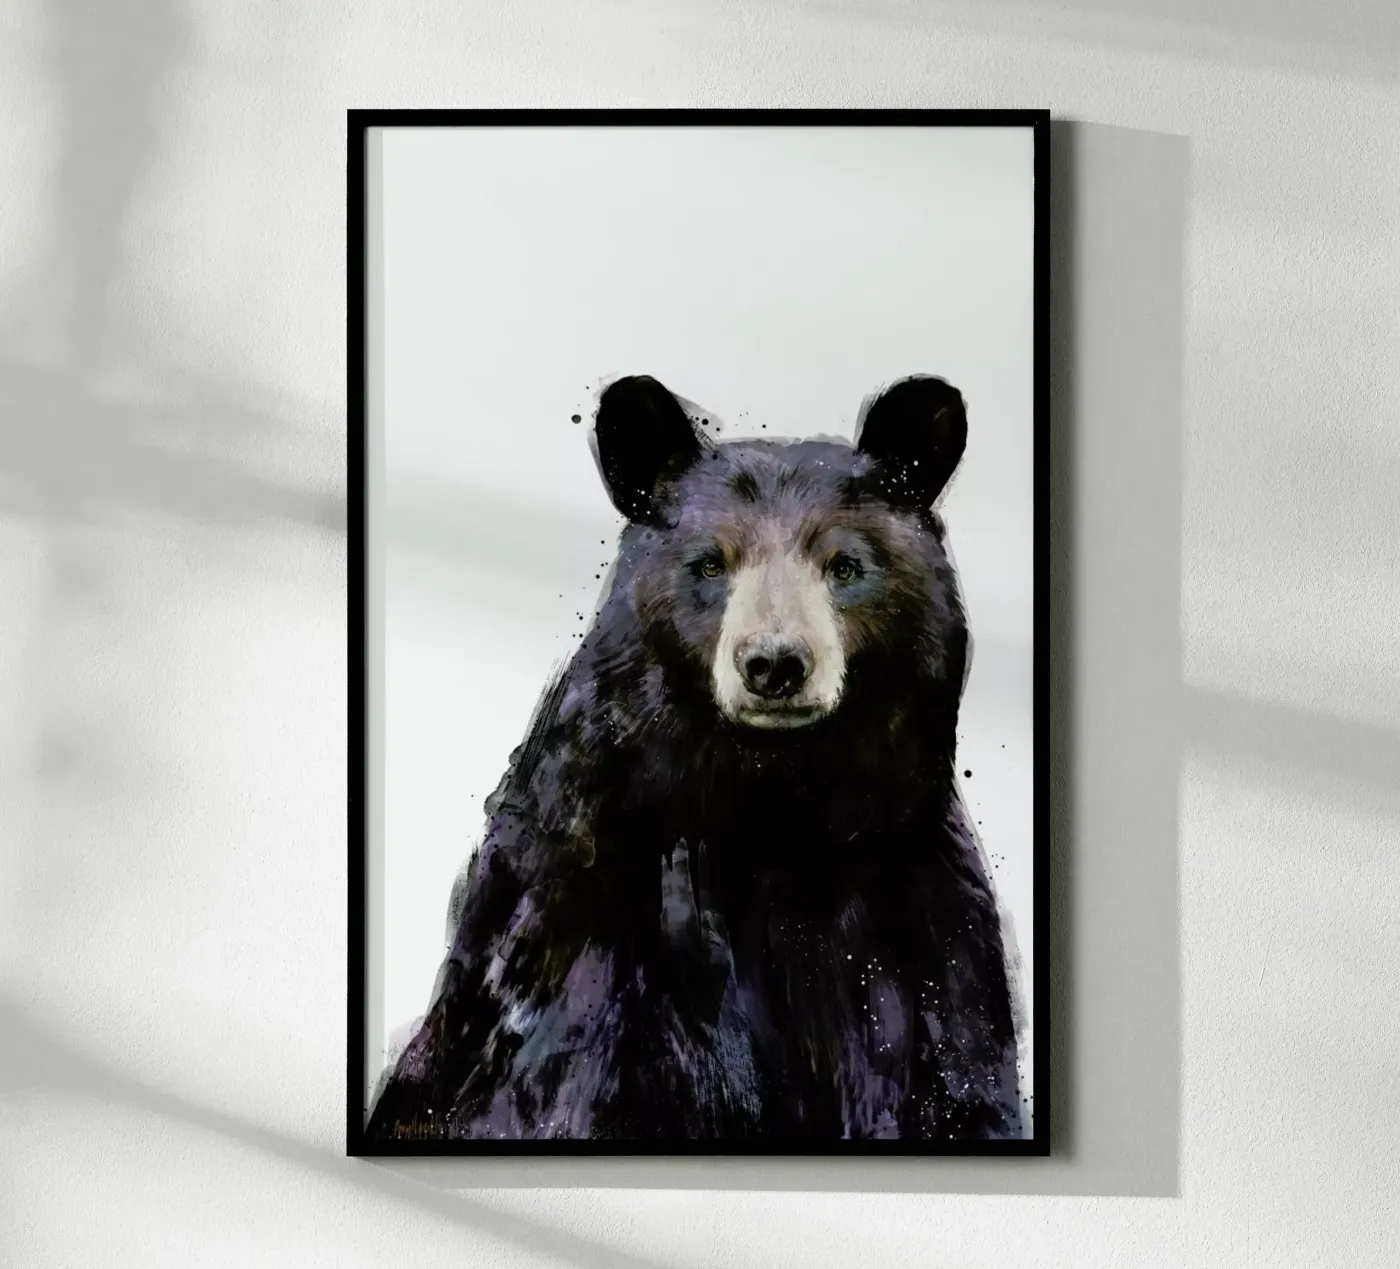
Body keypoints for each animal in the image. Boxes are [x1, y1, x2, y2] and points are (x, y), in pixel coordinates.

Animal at [365, 373, 1023, 1143]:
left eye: (845, 565)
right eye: (710, 563)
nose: (775, 663)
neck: (773, 810)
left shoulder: (924, 920)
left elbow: (958, 1077)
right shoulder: (585, 917)